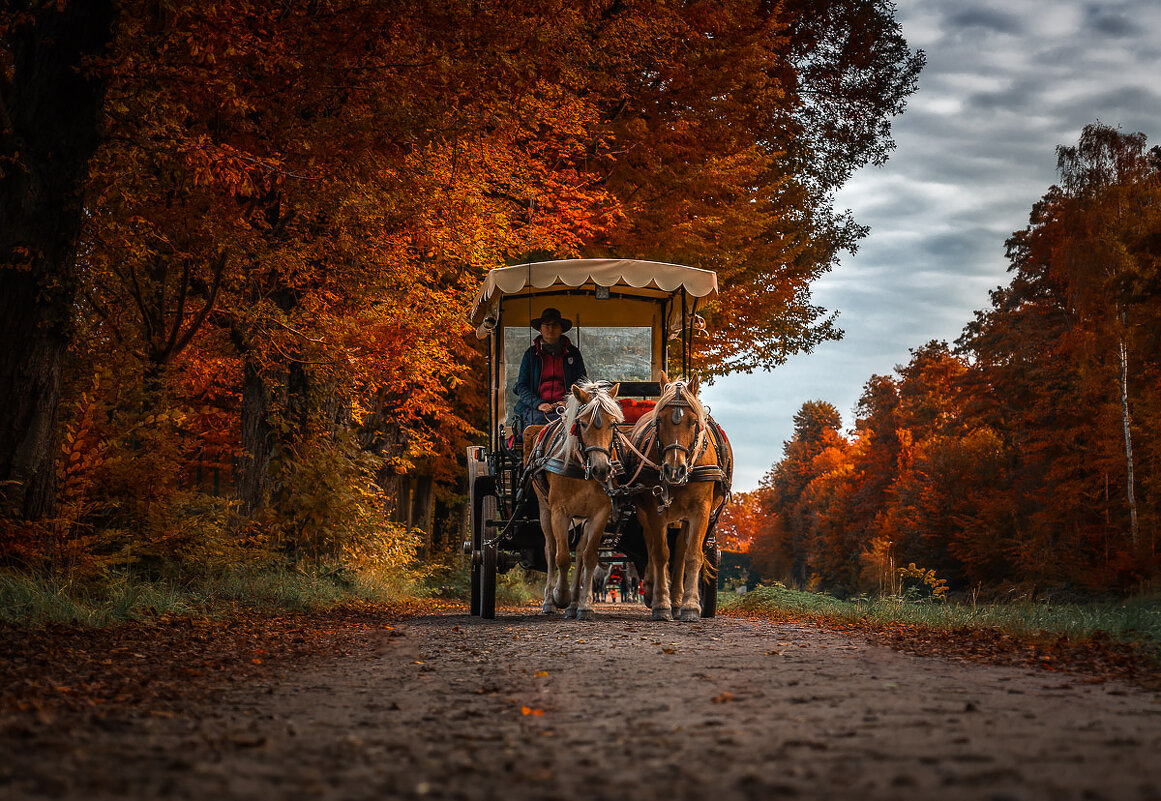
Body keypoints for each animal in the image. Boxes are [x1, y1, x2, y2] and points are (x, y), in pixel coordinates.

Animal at [524, 378, 622, 617]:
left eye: (613, 424)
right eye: (583, 424)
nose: (601, 469)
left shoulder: (600, 514)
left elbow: (588, 557)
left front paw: (584, 603)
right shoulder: (560, 512)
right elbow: (562, 557)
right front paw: (560, 596)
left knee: (579, 553)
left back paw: (575, 603)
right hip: (545, 511)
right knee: (550, 550)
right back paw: (550, 602)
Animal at [626, 371, 733, 622]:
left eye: (693, 422)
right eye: (659, 421)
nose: (674, 470)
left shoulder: (701, 511)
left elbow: (692, 556)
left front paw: (690, 606)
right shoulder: (655, 510)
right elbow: (660, 554)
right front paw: (661, 604)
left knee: (682, 552)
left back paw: (677, 600)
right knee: (652, 545)